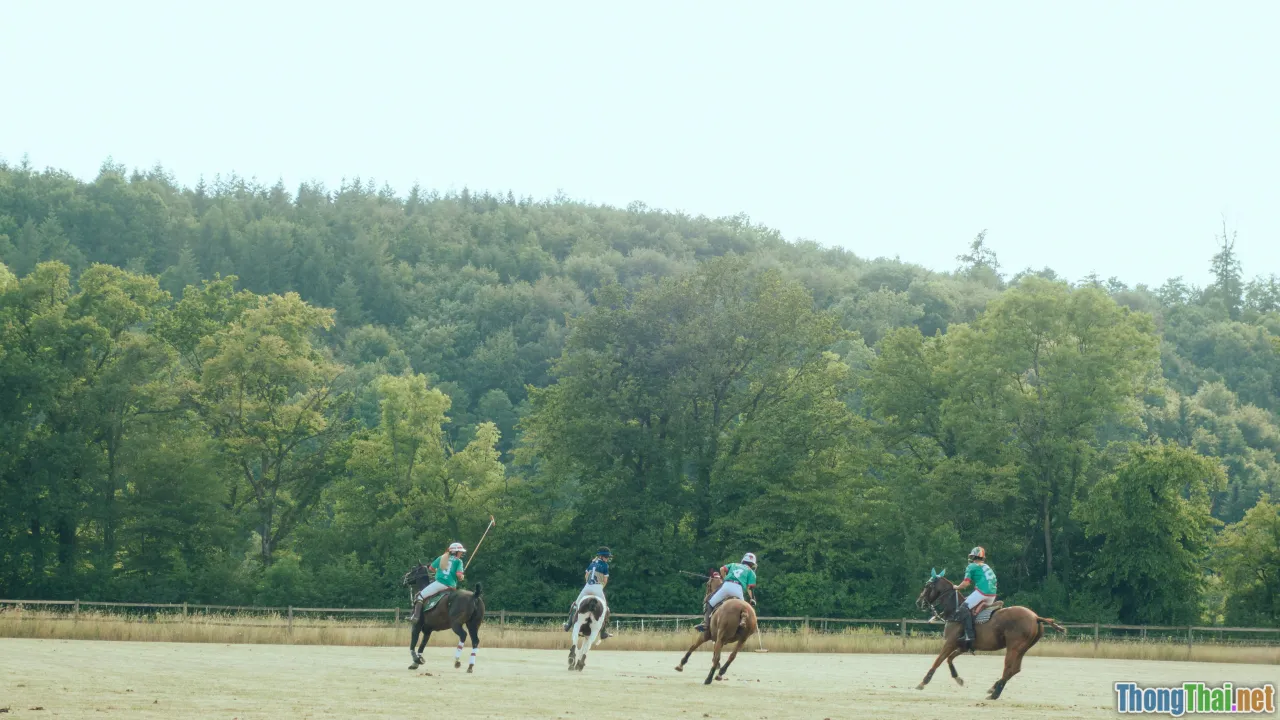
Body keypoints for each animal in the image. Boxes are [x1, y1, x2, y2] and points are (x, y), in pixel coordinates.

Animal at [914, 569, 1066, 699]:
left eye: (927, 585)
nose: (919, 602)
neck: (954, 611)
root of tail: (1035, 617)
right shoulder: (962, 646)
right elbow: (949, 659)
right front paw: (958, 679)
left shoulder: (950, 643)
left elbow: (938, 660)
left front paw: (922, 683)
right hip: (1023, 648)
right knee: (1015, 669)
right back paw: (993, 688)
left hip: (1014, 647)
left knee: (1008, 668)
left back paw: (994, 694)